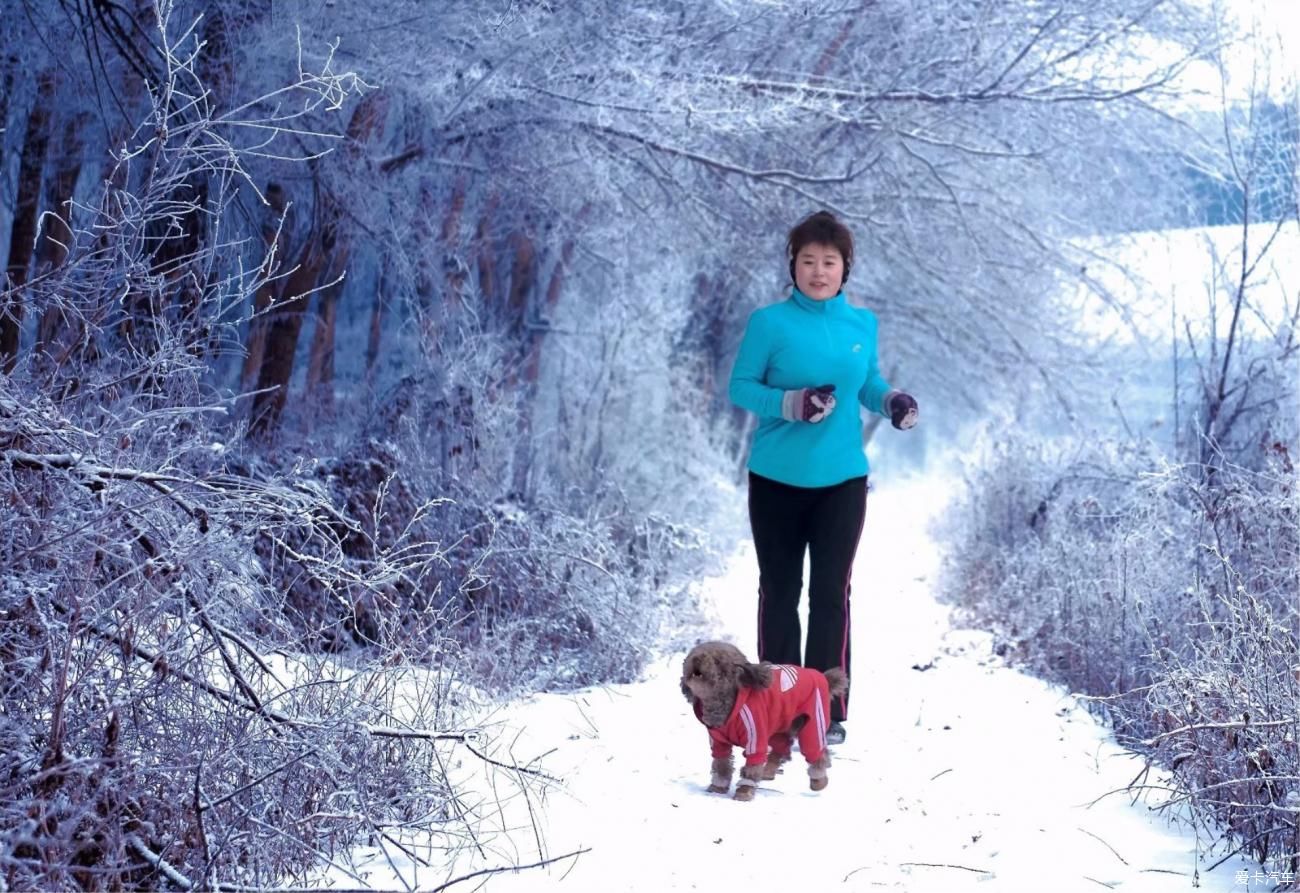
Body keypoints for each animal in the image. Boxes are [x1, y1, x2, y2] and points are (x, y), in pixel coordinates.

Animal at [681, 642, 852, 805]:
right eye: (694, 654)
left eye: (717, 661)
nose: (696, 660)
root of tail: (820, 676)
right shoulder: (719, 744)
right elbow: (722, 765)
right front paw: (718, 787)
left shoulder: (755, 735)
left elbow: (752, 766)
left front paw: (744, 791)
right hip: (779, 724)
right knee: (782, 748)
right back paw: (768, 771)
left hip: (812, 723)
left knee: (817, 752)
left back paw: (818, 780)